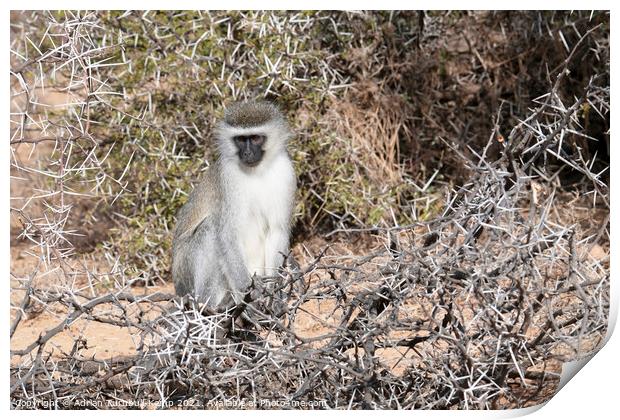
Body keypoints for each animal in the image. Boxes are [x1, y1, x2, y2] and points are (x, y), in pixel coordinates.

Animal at [170, 98, 296, 308]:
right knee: (210, 229)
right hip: (184, 275)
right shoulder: (228, 176)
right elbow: (227, 234)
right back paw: (210, 305)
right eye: (240, 140)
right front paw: (251, 290)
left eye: (255, 138)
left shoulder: (286, 171)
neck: (258, 171)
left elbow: (277, 229)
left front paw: (272, 292)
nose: (247, 153)